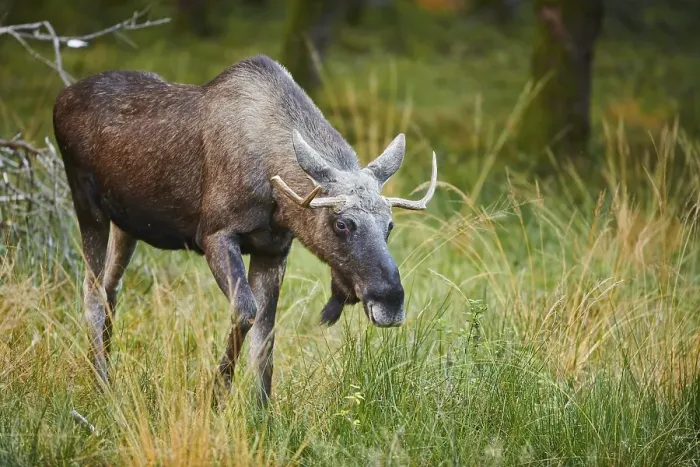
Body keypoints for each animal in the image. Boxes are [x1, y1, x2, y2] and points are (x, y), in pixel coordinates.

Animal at [53, 55, 437, 403]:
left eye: (389, 225)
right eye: (341, 223)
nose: (390, 300)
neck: (276, 194)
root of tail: (60, 99)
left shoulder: (274, 250)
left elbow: (265, 342)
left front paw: (263, 414)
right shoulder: (215, 235)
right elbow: (245, 313)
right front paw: (215, 400)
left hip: (126, 224)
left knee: (110, 288)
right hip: (87, 205)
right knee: (91, 291)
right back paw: (102, 385)